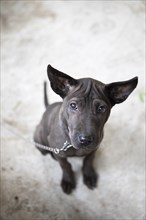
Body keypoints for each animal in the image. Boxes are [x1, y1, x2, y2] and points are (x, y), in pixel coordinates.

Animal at [34, 65, 138, 194]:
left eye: (101, 108)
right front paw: (68, 180)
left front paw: (89, 175)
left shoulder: (94, 148)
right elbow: (65, 166)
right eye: (73, 105)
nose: (85, 140)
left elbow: (88, 160)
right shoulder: (61, 154)